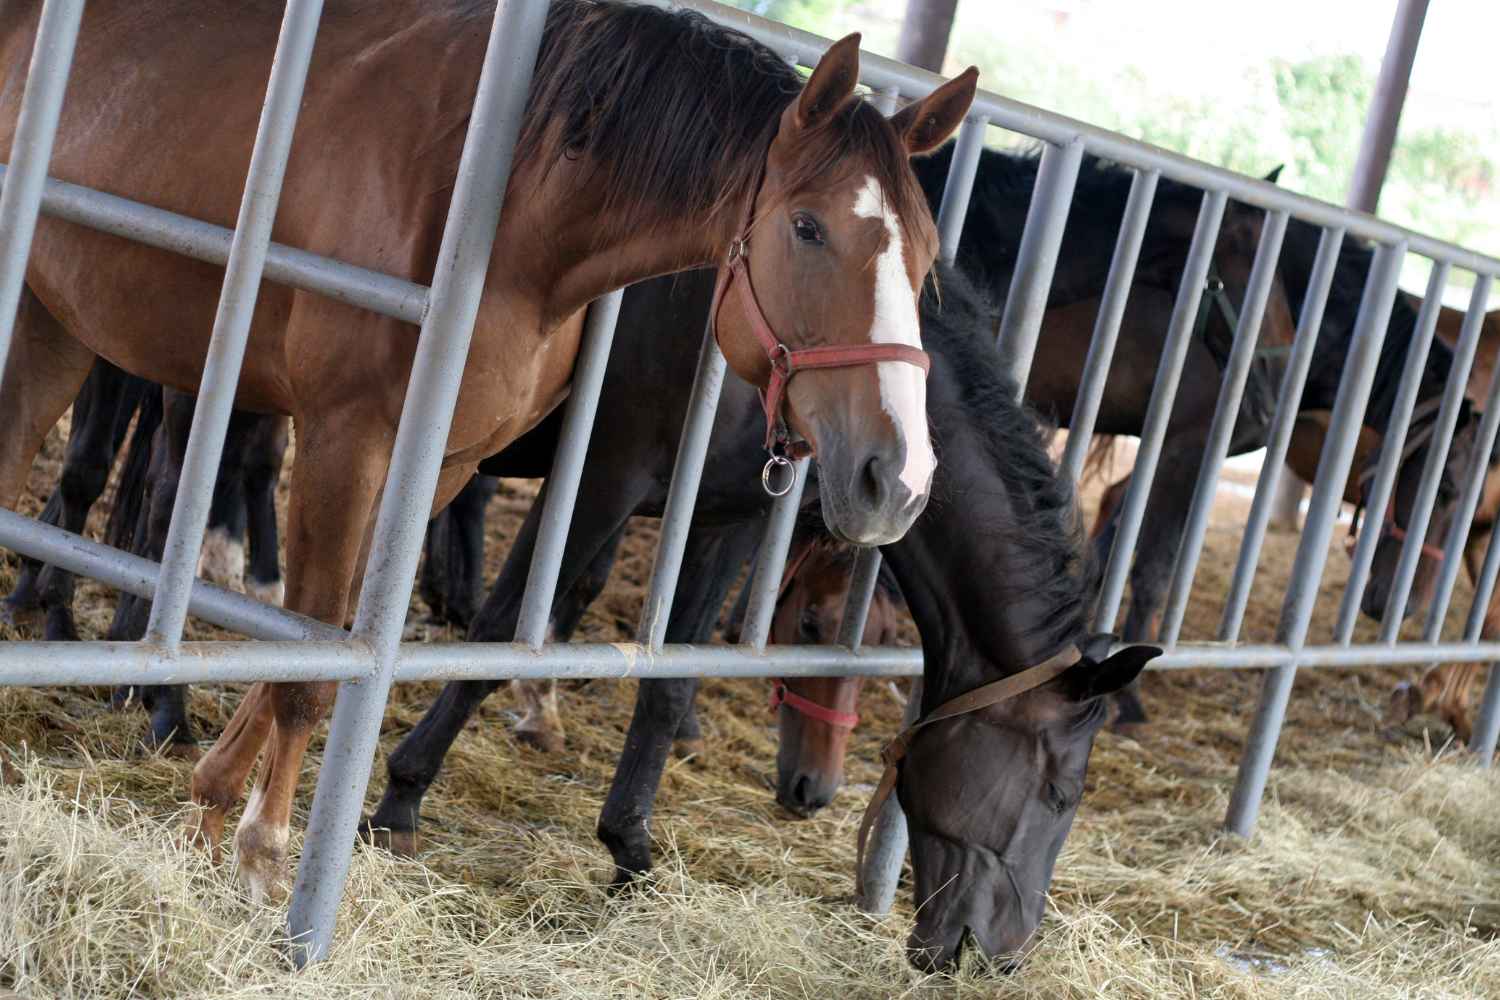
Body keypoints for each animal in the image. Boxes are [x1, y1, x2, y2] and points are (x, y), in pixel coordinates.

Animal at [0, 0, 978, 900]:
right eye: (809, 228)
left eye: (928, 253)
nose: (898, 478)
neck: (494, 209)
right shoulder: (351, 440)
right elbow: (315, 663)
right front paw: (265, 854)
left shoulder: (442, 463)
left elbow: (336, 632)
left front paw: (211, 806)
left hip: (58, 323)